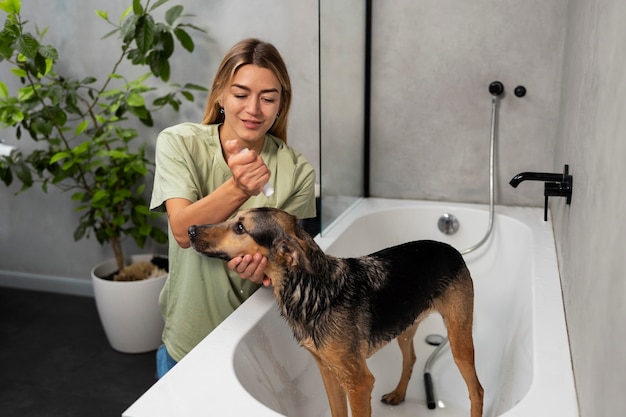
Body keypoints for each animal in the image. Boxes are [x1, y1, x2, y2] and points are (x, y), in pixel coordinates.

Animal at [188, 207, 480, 416]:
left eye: (240, 227)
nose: (190, 228)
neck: (312, 291)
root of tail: (451, 248)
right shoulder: (328, 373)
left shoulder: (359, 383)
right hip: (404, 328)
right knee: (411, 359)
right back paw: (398, 394)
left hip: (459, 341)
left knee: (477, 390)